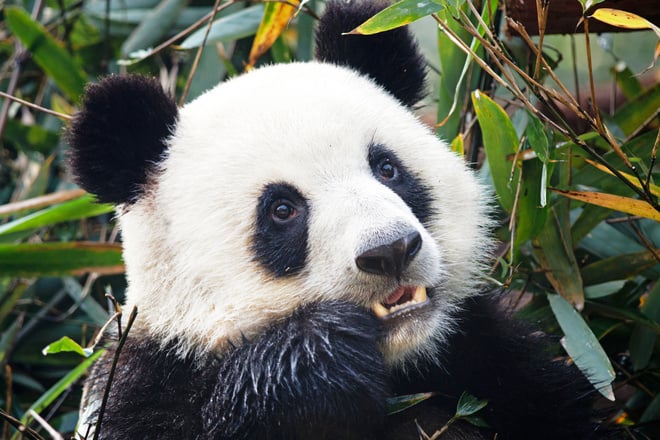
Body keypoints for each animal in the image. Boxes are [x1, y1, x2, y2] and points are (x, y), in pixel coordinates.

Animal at [67, 0, 608, 440]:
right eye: (282, 210)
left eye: (387, 169)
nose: (390, 250)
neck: (402, 366)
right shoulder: (145, 381)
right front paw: (320, 356)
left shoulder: (486, 357)